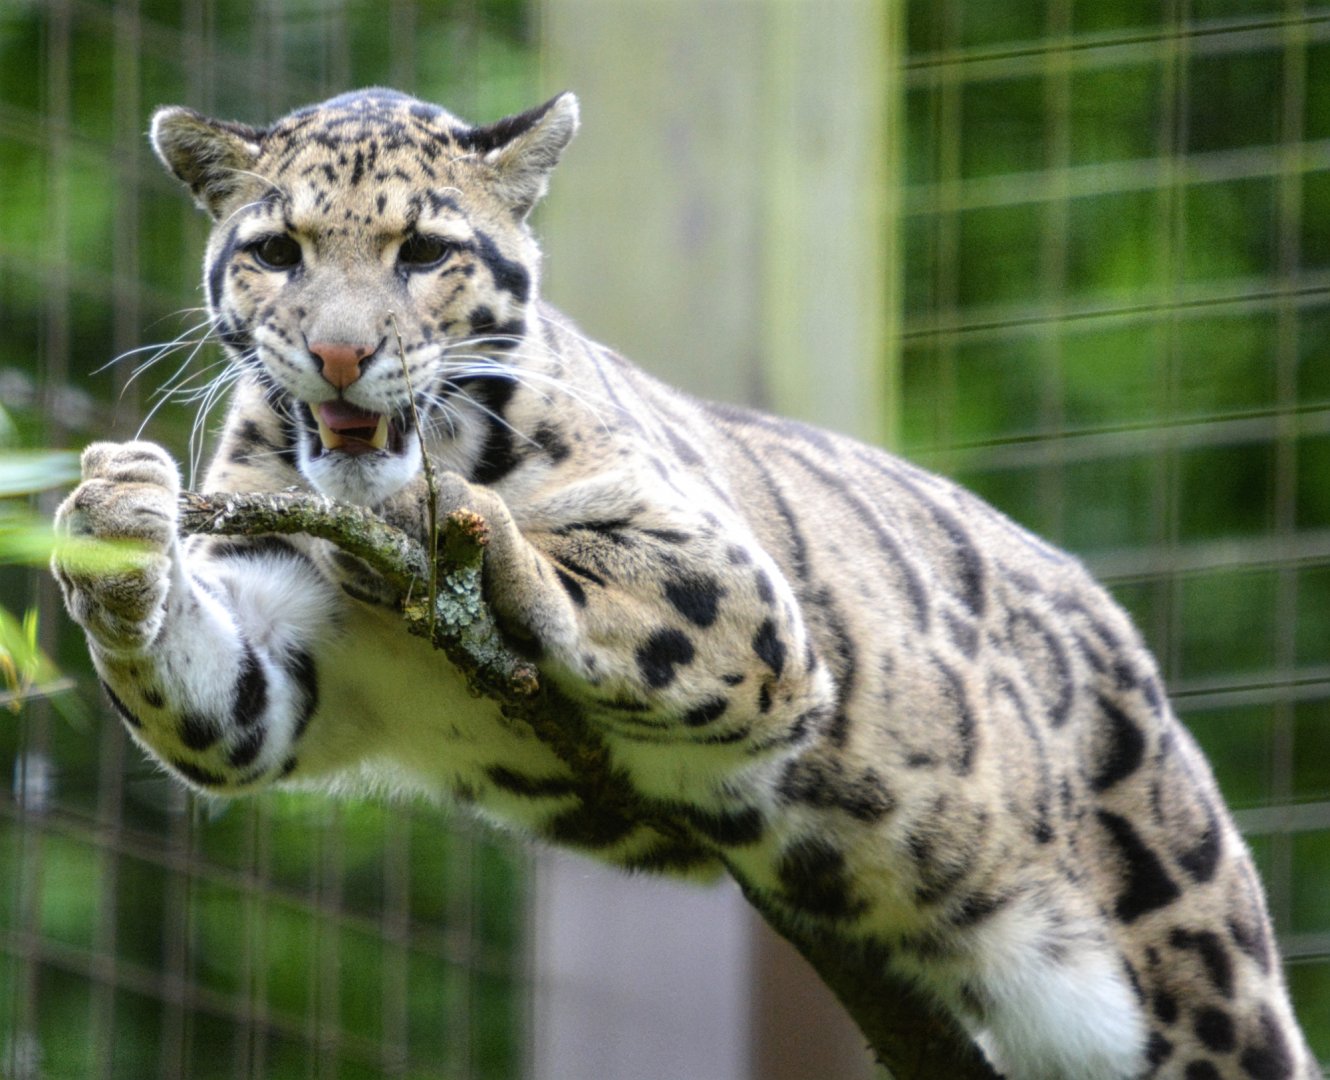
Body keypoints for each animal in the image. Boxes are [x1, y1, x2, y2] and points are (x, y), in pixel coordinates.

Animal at [50, 88, 1319, 1079]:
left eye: (421, 252)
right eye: (278, 253)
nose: (341, 354)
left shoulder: (747, 594)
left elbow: (616, 576)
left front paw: (498, 543)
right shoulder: (276, 654)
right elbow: (206, 695)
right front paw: (116, 515)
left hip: (1204, 971)